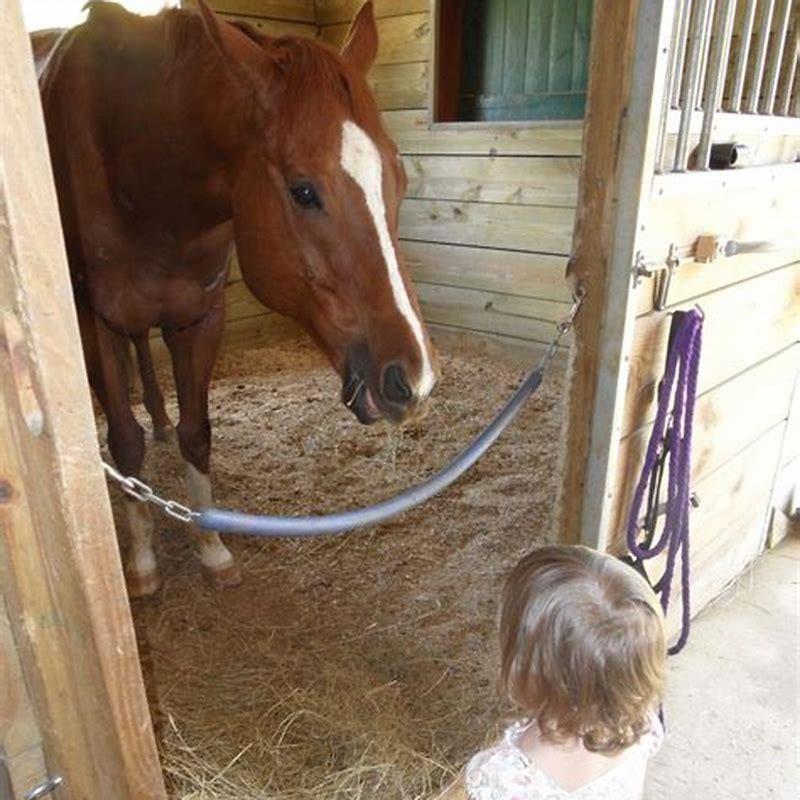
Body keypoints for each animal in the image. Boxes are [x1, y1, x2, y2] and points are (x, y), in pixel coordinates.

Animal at [32, 0, 438, 597]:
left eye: (400, 179)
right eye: (303, 191)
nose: (415, 377)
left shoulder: (200, 316)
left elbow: (196, 433)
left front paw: (212, 548)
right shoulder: (92, 323)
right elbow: (124, 444)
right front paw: (144, 563)